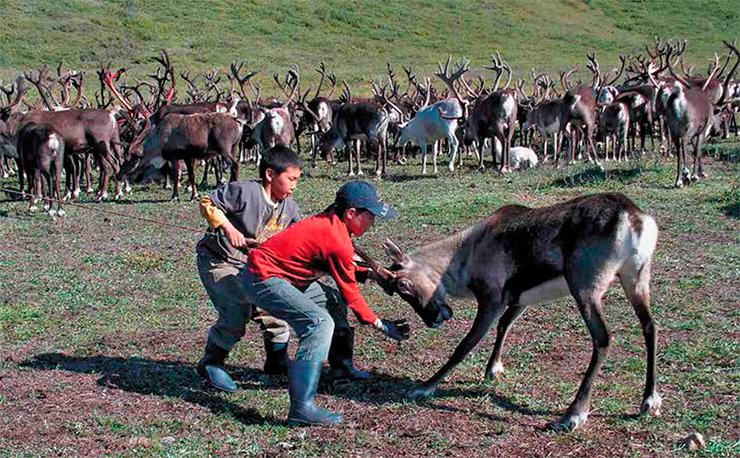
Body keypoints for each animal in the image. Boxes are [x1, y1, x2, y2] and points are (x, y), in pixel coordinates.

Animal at [361, 192, 661, 431]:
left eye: (403, 285)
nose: (434, 319)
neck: (467, 250)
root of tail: (632, 216)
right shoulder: (518, 300)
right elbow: (505, 324)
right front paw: (493, 369)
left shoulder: (491, 299)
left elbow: (465, 345)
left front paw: (424, 386)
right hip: (636, 278)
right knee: (650, 325)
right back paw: (649, 400)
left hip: (586, 287)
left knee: (603, 337)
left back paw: (572, 416)